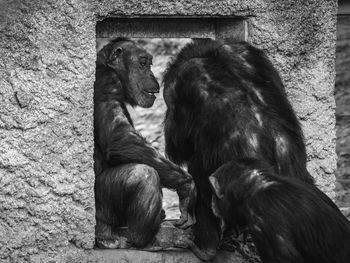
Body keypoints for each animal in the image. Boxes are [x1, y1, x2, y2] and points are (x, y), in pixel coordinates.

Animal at [93, 37, 197, 250]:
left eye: (149, 64)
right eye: (142, 63)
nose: (151, 73)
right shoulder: (107, 84)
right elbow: (119, 137)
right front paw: (187, 187)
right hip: (102, 209)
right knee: (144, 174)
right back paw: (150, 240)